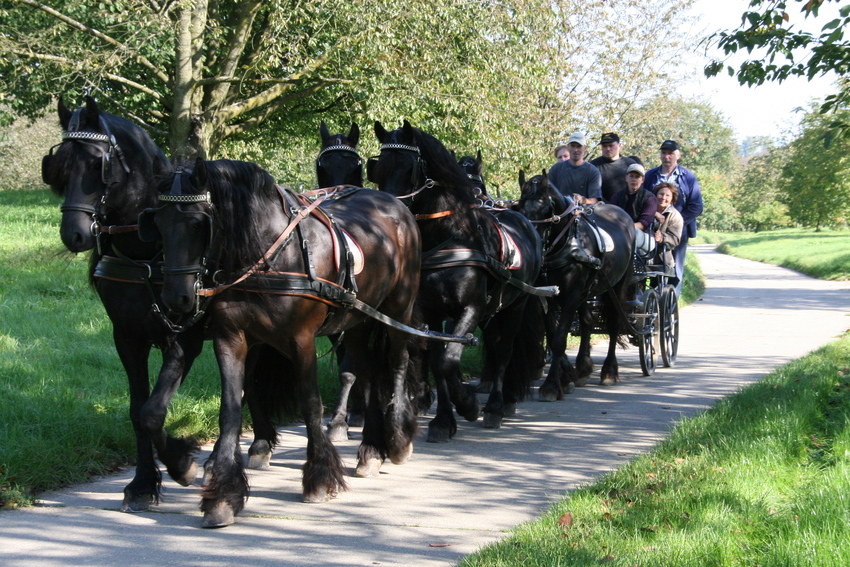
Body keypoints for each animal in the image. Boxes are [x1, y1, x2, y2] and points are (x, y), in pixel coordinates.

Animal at [147, 159, 422, 528]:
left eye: (197, 222)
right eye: (158, 222)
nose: (175, 299)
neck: (267, 255)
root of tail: (394, 203)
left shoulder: (301, 339)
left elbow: (310, 403)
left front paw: (319, 477)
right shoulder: (230, 338)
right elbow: (229, 410)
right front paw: (222, 496)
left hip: (397, 307)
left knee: (397, 362)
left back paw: (397, 440)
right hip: (356, 319)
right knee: (366, 375)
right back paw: (369, 452)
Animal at [368, 118, 548, 440]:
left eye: (409, 167)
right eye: (378, 168)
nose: (387, 211)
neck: (449, 238)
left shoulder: (470, 309)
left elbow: (448, 360)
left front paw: (467, 403)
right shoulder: (429, 313)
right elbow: (438, 362)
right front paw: (443, 419)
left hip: (515, 305)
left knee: (504, 351)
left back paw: (496, 406)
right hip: (493, 312)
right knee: (494, 346)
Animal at [512, 171, 632, 398]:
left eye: (546, 209)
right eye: (520, 209)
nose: (533, 246)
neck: (566, 243)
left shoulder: (570, 297)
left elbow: (559, 340)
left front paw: (551, 385)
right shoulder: (545, 295)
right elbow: (552, 336)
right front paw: (566, 377)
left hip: (618, 286)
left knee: (613, 324)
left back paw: (609, 371)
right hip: (586, 291)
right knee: (587, 320)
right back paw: (583, 368)